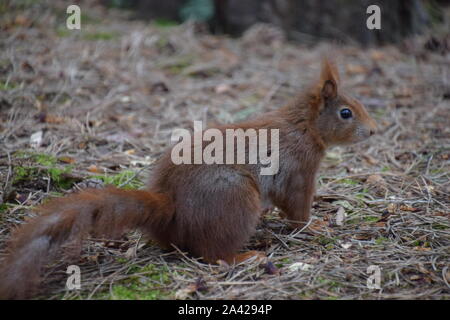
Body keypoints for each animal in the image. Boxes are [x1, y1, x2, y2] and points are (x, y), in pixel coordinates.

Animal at [0, 59, 376, 298]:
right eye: (346, 113)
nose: (373, 131)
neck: (305, 125)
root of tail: (171, 209)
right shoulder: (298, 170)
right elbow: (297, 207)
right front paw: (315, 225)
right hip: (236, 197)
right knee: (213, 252)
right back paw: (246, 258)